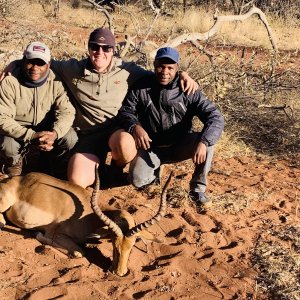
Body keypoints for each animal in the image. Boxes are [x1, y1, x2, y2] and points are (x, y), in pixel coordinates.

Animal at [0, 169, 171, 276]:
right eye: (114, 246)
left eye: (131, 247)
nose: (120, 273)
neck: (87, 217)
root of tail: (16, 178)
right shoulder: (55, 234)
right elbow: (79, 252)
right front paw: (37, 234)